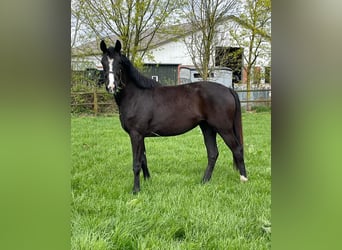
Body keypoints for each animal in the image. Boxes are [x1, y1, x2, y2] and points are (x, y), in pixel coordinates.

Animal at [100, 39, 247, 193]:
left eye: (119, 63)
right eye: (103, 62)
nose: (111, 86)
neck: (136, 95)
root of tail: (228, 89)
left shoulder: (136, 135)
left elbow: (136, 163)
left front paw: (136, 190)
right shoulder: (141, 136)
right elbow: (143, 159)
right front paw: (147, 181)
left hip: (224, 129)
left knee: (237, 149)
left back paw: (243, 179)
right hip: (208, 128)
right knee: (213, 153)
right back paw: (204, 181)